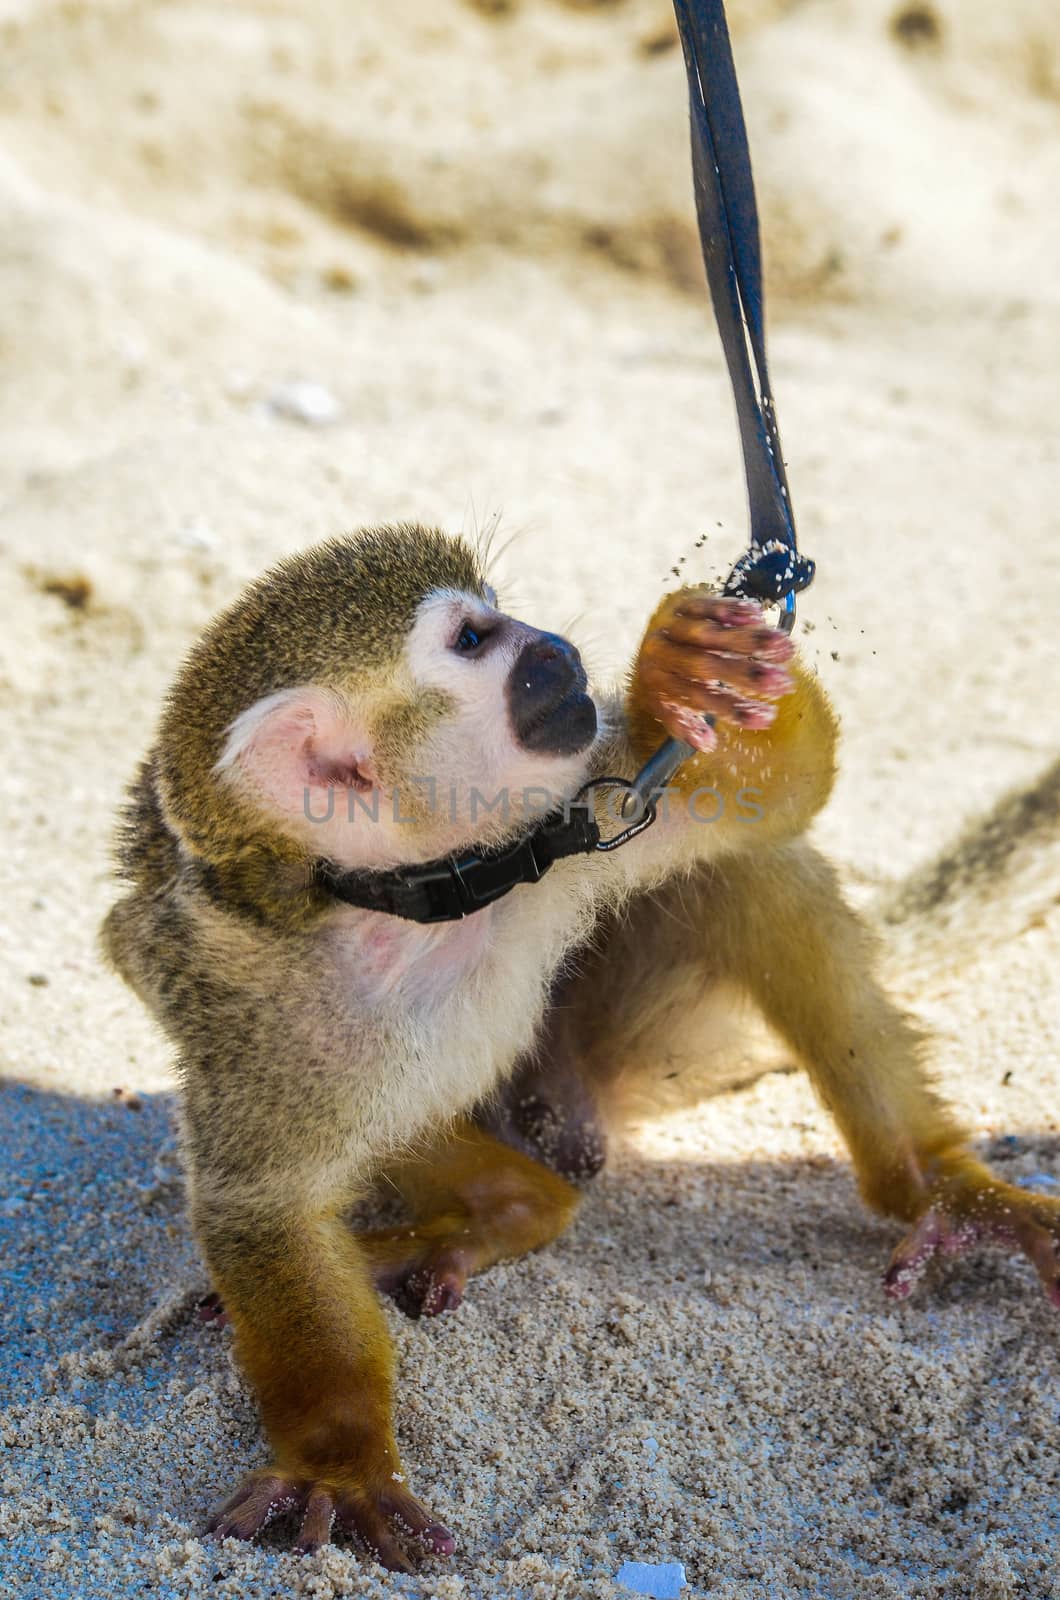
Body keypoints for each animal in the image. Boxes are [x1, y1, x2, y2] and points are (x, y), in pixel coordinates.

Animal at [104, 521, 1060, 1561]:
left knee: (747, 868)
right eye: (474, 641)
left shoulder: (573, 816)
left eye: (498, 612)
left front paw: (686, 668)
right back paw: (511, 1203)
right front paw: (339, 1461)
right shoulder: (264, 1021)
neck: (426, 901)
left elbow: (776, 794)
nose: (555, 647)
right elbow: (263, 1208)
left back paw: (932, 1186)